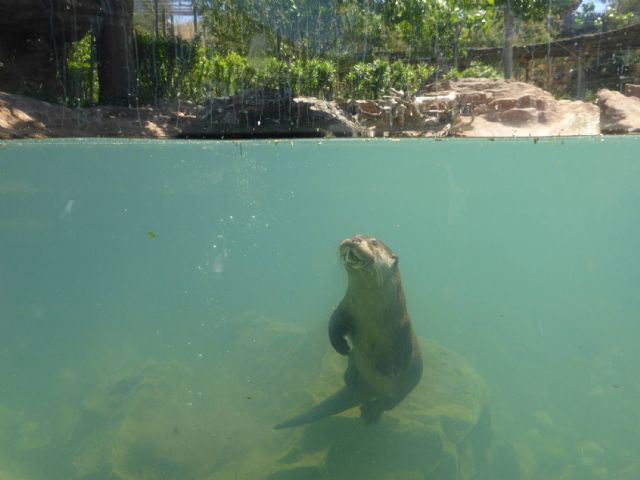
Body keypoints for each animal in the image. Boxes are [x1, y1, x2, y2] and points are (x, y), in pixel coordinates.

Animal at [274, 234, 420, 430]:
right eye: (356, 234)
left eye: (374, 242)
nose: (354, 239)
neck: (371, 313)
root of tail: (367, 386)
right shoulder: (345, 308)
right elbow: (334, 324)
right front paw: (341, 345)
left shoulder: (402, 327)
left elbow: (400, 359)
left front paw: (387, 371)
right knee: (356, 363)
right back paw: (352, 379)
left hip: (404, 391)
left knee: (387, 403)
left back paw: (372, 410)